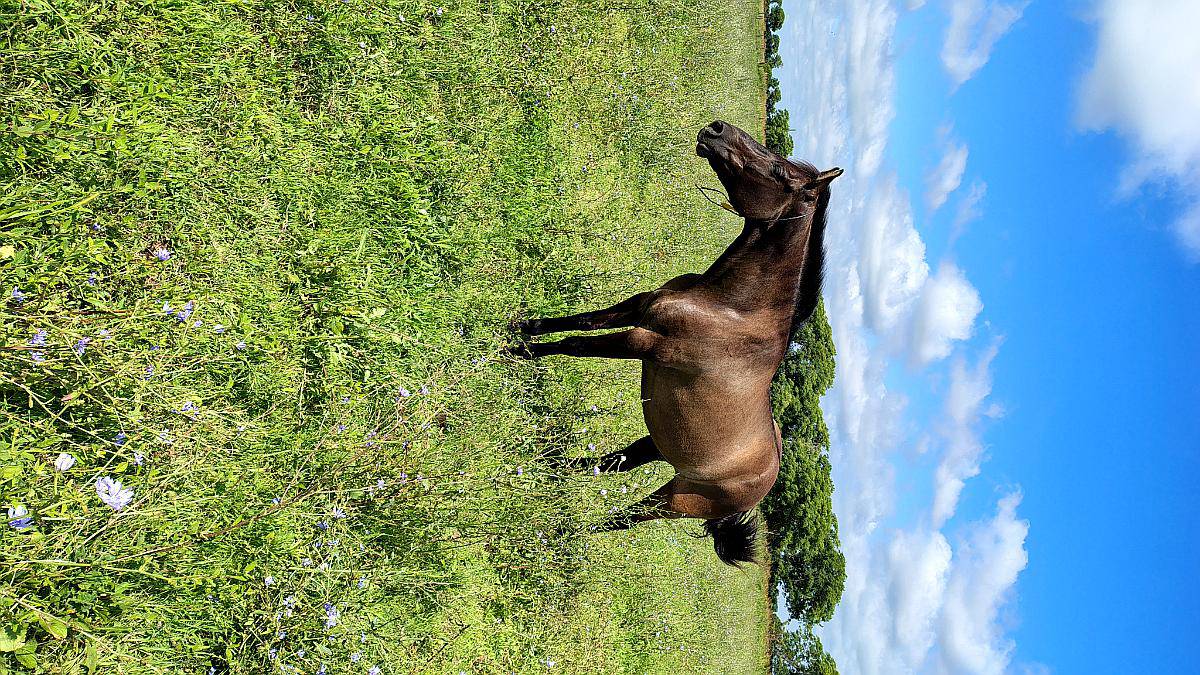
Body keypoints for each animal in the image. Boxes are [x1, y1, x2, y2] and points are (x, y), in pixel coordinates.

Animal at [509, 120, 841, 566]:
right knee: (612, 465)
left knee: (624, 517)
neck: (731, 309)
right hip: (659, 445)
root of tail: (763, 484)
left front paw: (512, 352)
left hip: (677, 500)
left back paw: (560, 534)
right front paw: (518, 327)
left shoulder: (641, 341)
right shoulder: (638, 308)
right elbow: (578, 321)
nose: (716, 129)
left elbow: (572, 343)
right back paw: (550, 461)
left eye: (779, 172)